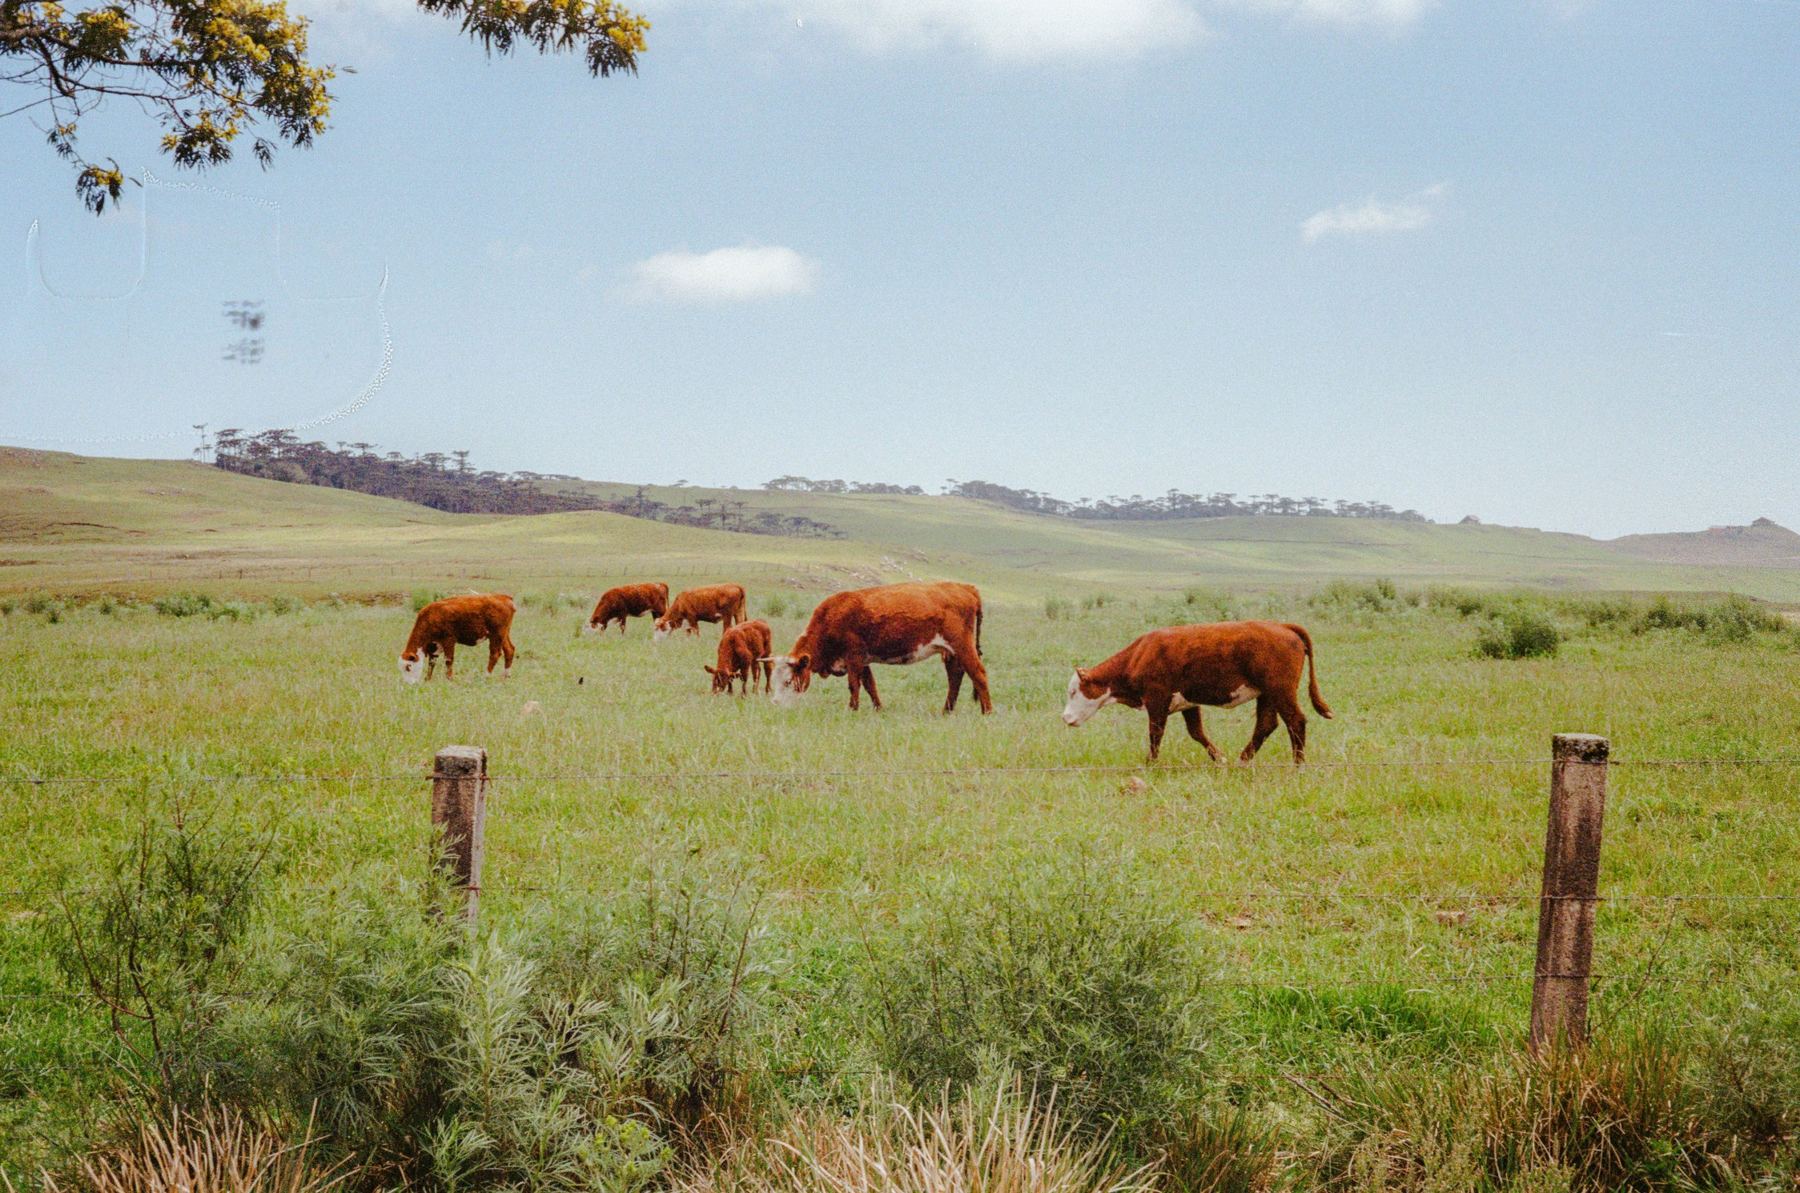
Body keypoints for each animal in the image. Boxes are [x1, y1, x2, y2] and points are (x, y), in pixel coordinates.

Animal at [770, 581, 991, 714]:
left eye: (788, 681)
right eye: (773, 680)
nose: (776, 703)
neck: (830, 618)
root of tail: (965, 587)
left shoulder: (853, 657)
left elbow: (854, 685)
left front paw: (852, 709)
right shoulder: (862, 660)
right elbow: (870, 685)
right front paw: (878, 708)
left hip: (962, 646)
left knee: (978, 674)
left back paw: (986, 712)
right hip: (950, 652)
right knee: (955, 677)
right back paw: (946, 711)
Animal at [1062, 621, 1331, 766]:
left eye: (1074, 691)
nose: (1065, 718)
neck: (1139, 655)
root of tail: (1282, 626)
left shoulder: (1157, 700)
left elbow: (1155, 733)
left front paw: (1150, 763)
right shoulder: (1188, 703)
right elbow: (1196, 732)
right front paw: (1220, 758)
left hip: (1281, 690)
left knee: (1295, 721)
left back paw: (1298, 765)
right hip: (1267, 694)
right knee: (1266, 724)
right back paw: (1242, 760)